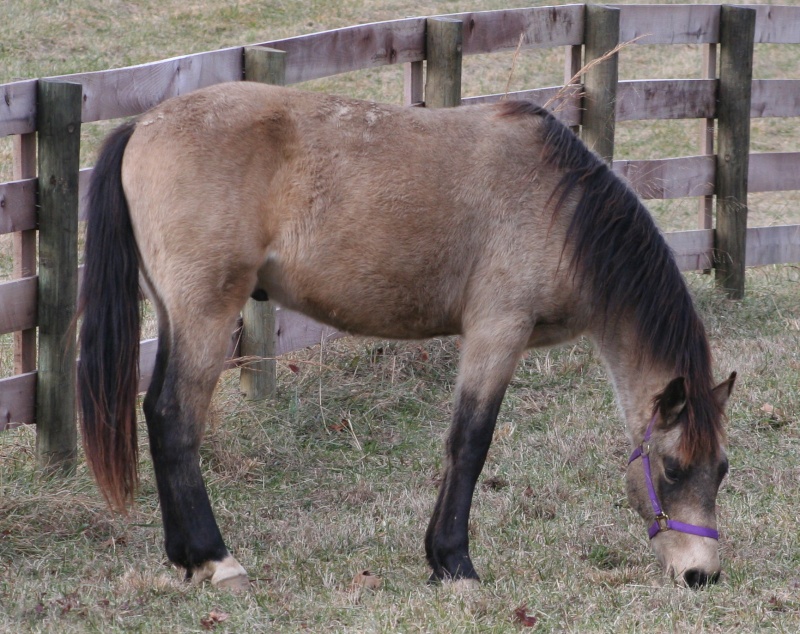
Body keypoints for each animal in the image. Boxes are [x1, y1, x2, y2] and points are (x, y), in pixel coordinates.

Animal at [78, 81, 736, 592]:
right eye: (673, 468)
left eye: (722, 469)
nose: (700, 574)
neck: (561, 208)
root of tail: (141, 125)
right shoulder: (497, 332)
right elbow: (469, 443)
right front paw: (454, 563)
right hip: (207, 317)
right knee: (174, 419)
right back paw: (216, 560)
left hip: (178, 317)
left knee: (158, 416)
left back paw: (186, 559)